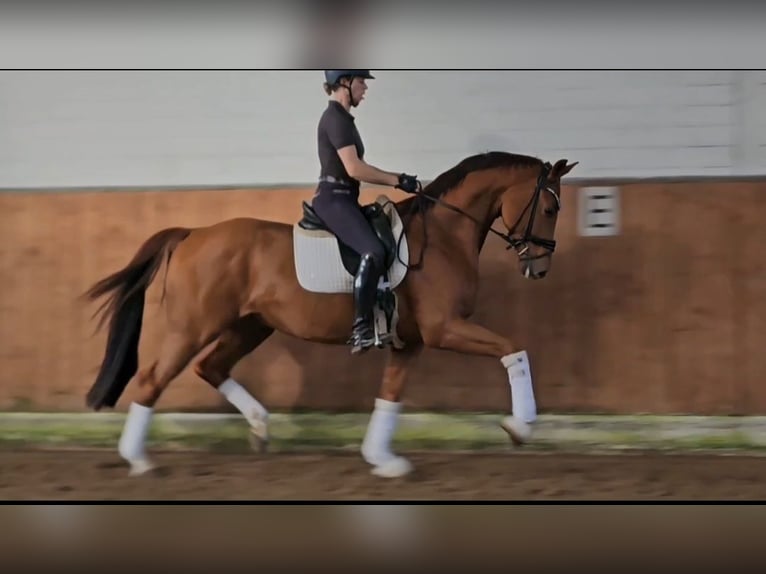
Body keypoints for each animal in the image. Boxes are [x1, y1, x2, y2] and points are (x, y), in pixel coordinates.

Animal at [82, 151, 578, 478]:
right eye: (549, 207)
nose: (540, 268)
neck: (441, 237)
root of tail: (193, 234)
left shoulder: (412, 341)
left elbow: (390, 395)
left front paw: (383, 459)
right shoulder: (445, 330)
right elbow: (514, 348)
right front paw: (520, 427)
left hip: (251, 326)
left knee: (211, 367)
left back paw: (260, 428)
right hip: (193, 326)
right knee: (153, 379)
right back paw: (139, 459)